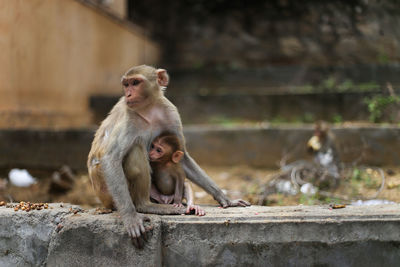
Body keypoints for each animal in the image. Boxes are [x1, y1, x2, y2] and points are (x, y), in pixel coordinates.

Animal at [88, 65, 250, 249]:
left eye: (135, 83)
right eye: (126, 84)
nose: (128, 94)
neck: (149, 110)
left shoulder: (170, 112)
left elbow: (183, 157)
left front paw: (225, 199)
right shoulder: (130, 119)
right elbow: (111, 158)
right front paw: (130, 218)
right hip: (106, 190)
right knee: (135, 148)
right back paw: (145, 206)